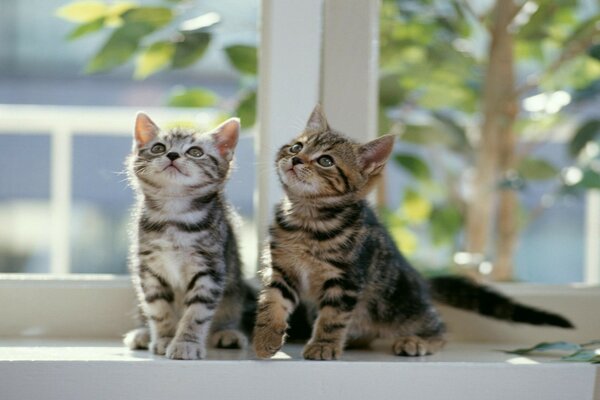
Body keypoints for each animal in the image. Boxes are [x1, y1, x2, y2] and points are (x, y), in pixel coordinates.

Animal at [123, 112, 248, 360]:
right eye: (158, 148)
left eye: (195, 152)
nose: (172, 155)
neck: (174, 216)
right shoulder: (150, 270)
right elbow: (159, 308)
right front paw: (164, 338)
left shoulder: (209, 270)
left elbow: (196, 312)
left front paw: (185, 343)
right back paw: (143, 333)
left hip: (233, 289)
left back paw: (228, 333)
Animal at [253, 104, 572, 360]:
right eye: (296, 147)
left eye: (325, 161)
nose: (296, 160)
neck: (307, 220)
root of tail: (421, 280)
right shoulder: (281, 268)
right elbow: (272, 303)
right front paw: (266, 338)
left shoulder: (346, 279)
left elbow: (332, 317)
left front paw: (323, 344)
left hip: (397, 305)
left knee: (439, 326)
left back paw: (419, 341)